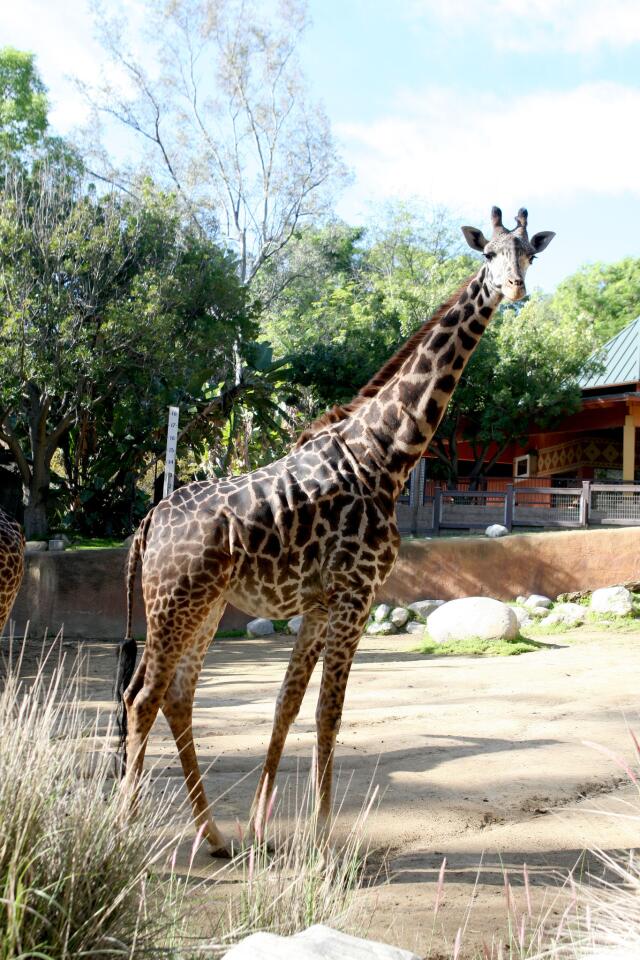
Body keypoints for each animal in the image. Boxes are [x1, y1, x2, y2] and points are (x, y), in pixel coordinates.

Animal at [116, 204, 556, 856]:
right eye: (487, 254)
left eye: (529, 253)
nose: (514, 287)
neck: (385, 455)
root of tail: (147, 523)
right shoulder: (355, 594)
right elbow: (329, 712)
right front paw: (322, 839)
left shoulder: (322, 604)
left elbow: (287, 704)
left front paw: (264, 828)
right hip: (173, 603)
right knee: (143, 697)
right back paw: (122, 829)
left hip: (204, 606)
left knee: (174, 697)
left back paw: (216, 837)